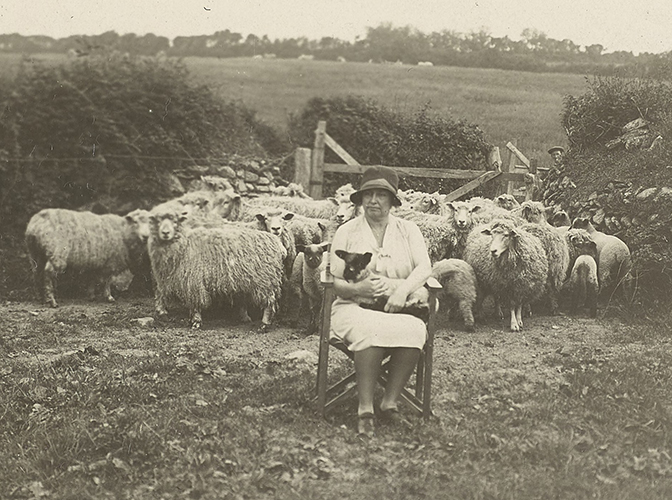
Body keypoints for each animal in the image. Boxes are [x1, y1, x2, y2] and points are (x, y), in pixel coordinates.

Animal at [148, 205, 284, 330]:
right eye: (157, 221)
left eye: (175, 221)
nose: (165, 233)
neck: (184, 243)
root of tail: (276, 242)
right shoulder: (169, 276)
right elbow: (161, 291)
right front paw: (162, 312)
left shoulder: (193, 279)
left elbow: (196, 301)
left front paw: (196, 321)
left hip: (266, 280)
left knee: (269, 302)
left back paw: (264, 324)